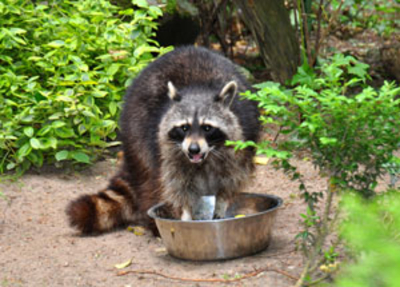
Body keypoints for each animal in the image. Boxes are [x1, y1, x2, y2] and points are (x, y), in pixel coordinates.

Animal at [66, 46, 260, 235]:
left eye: (207, 128)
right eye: (184, 128)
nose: (193, 149)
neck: (198, 90)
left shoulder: (241, 141)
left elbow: (231, 177)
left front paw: (221, 202)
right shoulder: (168, 150)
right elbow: (177, 185)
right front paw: (186, 214)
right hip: (137, 131)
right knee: (151, 180)